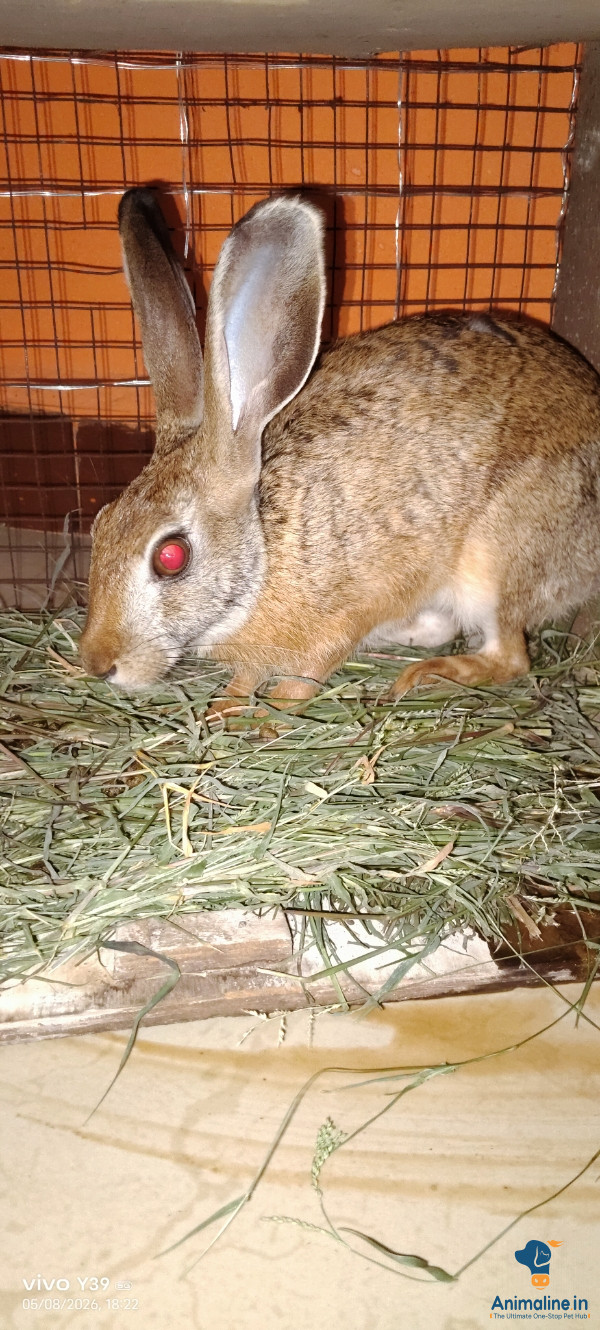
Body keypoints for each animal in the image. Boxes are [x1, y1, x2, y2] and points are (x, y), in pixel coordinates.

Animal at [79, 186, 600, 703]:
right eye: (99, 527)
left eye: (171, 558)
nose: (99, 665)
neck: (262, 550)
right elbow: (245, 679)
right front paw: (224, 707)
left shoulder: (341, 620)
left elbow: (306, 676)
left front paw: (269, 711)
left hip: (495, 565)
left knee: (510, 655)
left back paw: (422, 676)